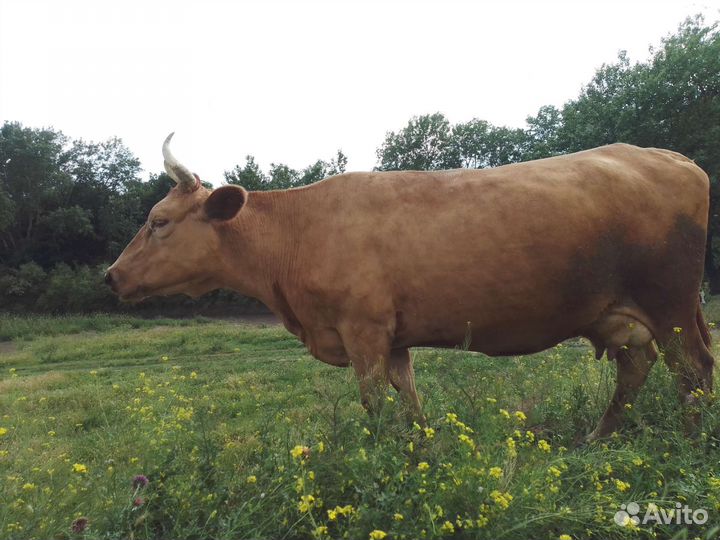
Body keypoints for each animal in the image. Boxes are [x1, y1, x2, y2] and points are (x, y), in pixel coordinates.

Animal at [106, 133, 715, 440]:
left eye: (159, 221)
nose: (111, 275)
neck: (296, 232)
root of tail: (668, 156)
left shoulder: (364, 331)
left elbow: (374, 401)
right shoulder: (392, 338)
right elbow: (410, 396)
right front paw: (421, 451)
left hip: (671, 302)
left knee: (691, 368)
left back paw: (688, 442)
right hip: (619, 312)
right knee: (638, 366)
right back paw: (599, 438)